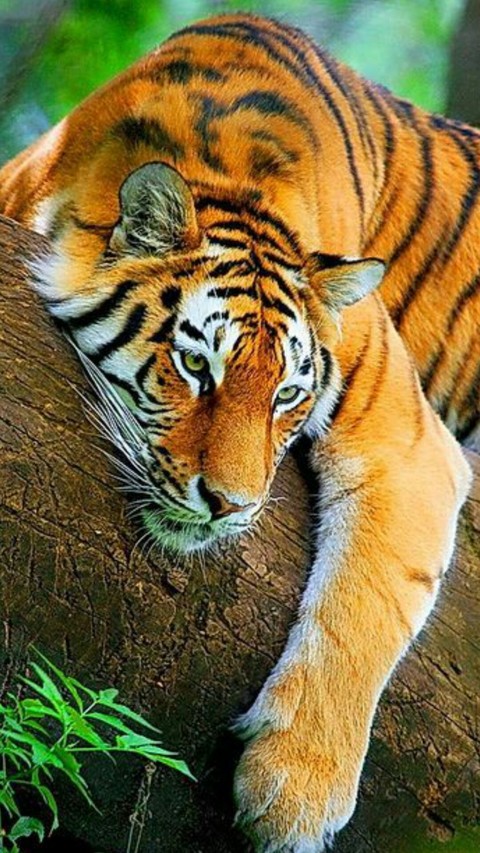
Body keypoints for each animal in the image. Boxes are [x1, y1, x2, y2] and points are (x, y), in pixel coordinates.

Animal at [0, 12, 477, 852]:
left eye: (287, 393)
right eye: (197, 365)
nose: (230, 505)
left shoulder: (410, 442)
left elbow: (364, 608)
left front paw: (296, 791)